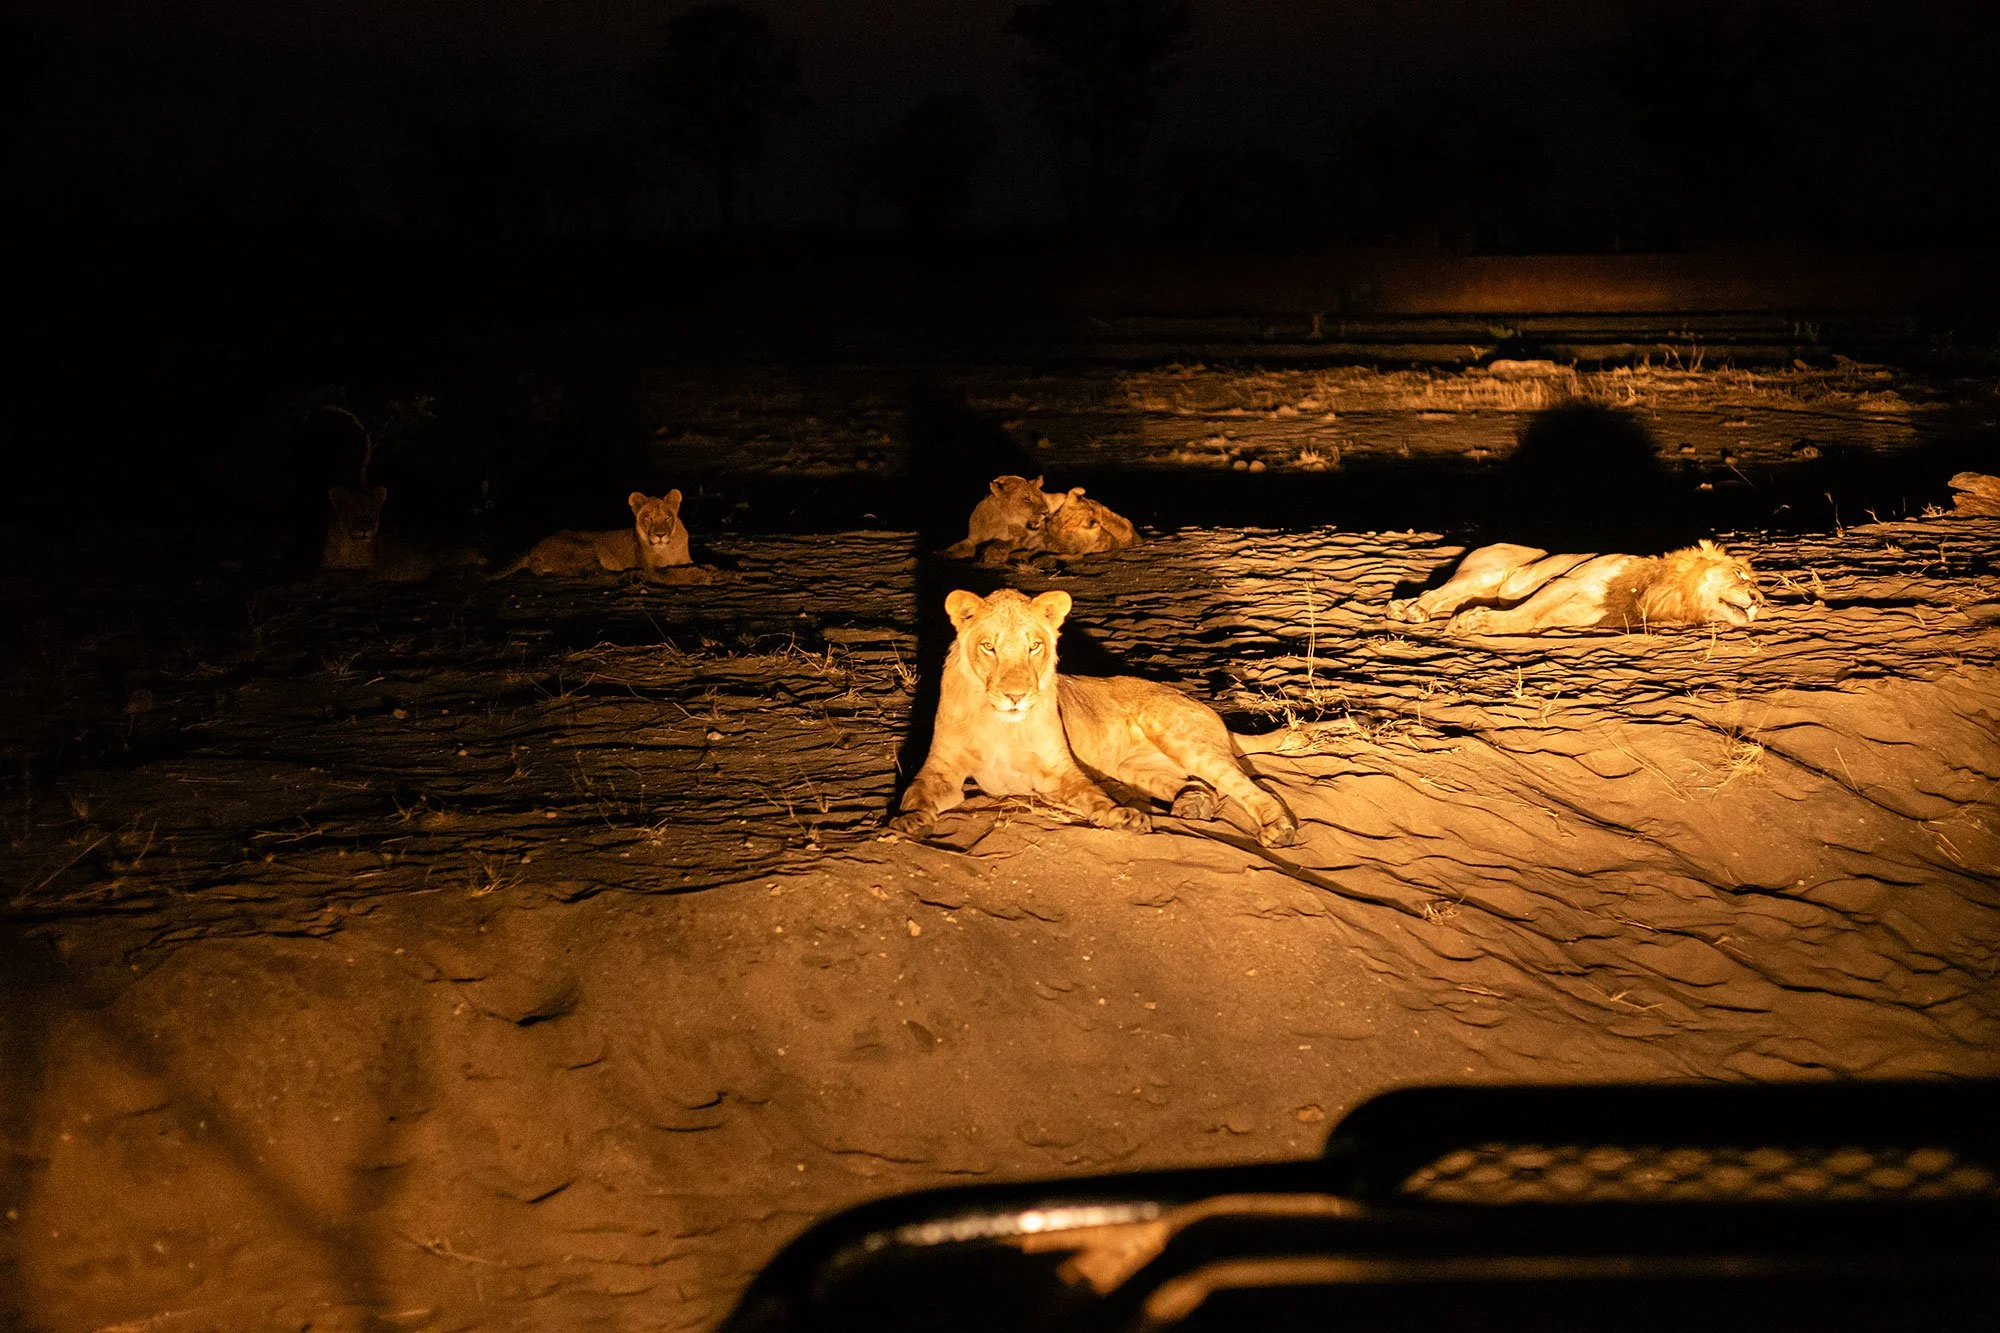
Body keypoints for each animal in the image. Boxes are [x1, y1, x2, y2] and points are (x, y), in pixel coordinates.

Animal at [492, 490, 714, 584]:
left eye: (668, 516)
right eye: (648, 517)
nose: (660, 535)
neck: (668, 547)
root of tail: (531, 550)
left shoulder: (684, 558)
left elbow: (693, 564)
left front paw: (713, 568)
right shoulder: (653, 570)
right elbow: (674, 574)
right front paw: (700, 576)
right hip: (586, 546)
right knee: (593, 572)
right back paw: (631, 575)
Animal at [890, 588, 1300, 847]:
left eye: (1034, 645)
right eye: (989, 646)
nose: (1015, 697)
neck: (1001, 725)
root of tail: (1202, 705)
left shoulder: (1061, 771)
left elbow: (1093, 796)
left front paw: (1123, 817)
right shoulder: (941, 770)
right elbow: (915, 793)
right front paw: (908, 821)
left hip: (1179, 735)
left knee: (1249, 787)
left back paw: (1278, 828)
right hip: (1134, 768)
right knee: (1202, 786)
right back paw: (1192, 804)